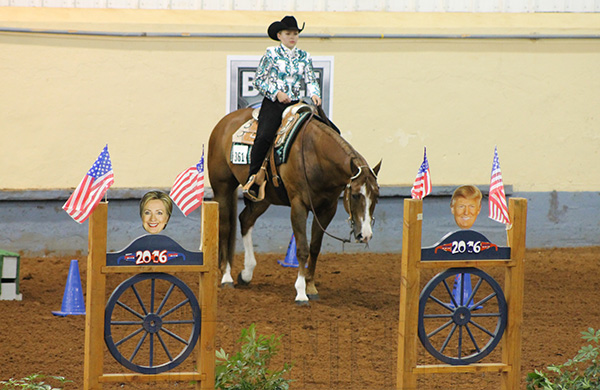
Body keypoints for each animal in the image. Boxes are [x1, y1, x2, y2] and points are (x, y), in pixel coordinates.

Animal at [209, 106, 382, 304]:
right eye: (354, 195)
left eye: (377, 196)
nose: (365, 235)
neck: (315, 155)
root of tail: (224, 123)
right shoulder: (299, 205)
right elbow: (302, 249)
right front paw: (300, 292)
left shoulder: (327, 209)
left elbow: (314, 247)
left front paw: (311, 287)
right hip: (222, 188)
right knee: (224, 228)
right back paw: (226, 277)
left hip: (263, 198)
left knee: (245, 220)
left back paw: (246, 274)